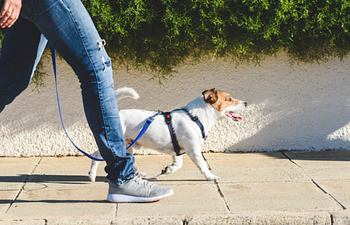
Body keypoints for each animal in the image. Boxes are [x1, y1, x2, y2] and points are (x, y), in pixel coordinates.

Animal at [89, 87, 247, 182]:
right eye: (228, 99)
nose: (246, 103)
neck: (195, 117)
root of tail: (117, 115)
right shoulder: (193, 150)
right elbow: (203, 165)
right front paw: (210, 176)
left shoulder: (178, 150)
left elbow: (178, 164)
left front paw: (169, 169)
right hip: (115, 144)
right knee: (96, 156)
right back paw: (92, 175)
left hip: (128, 145)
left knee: (129, 159)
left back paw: (138, 174)